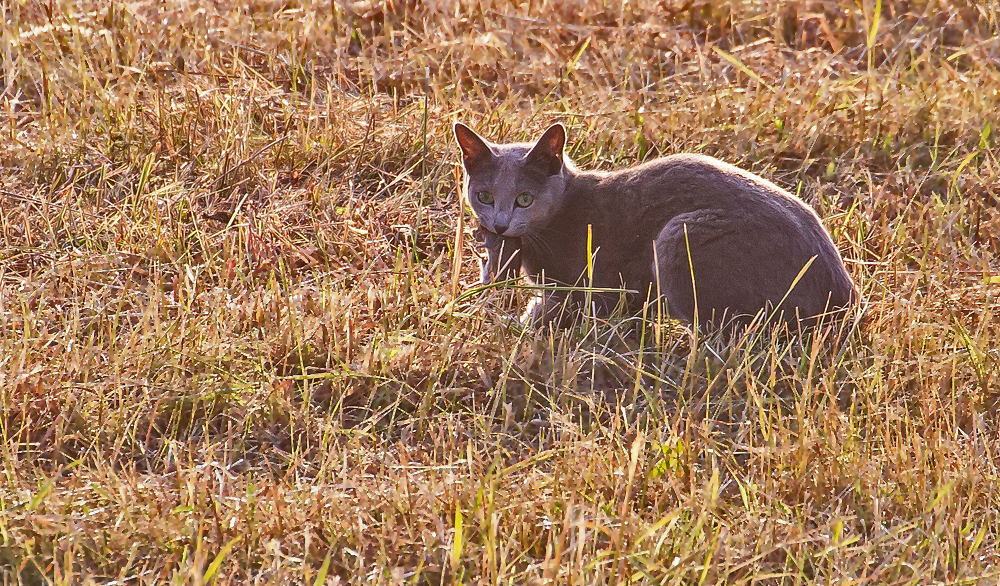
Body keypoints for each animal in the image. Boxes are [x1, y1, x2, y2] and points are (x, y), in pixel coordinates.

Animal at [458, 121, 856, 330]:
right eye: (484, 196)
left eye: (525, 199)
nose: (500, 225)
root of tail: (843, 295)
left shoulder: (594, 289)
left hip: (677, 235)